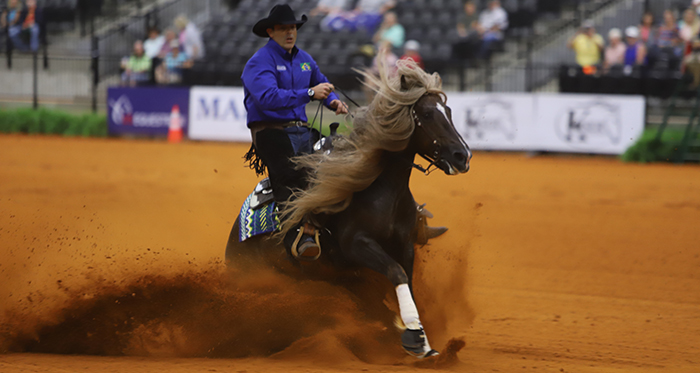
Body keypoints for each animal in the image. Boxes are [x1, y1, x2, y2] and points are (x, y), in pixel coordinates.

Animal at [227, 58, 474, 358]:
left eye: (447, 111)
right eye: (426, 114)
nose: (462, 156)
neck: (381, 190)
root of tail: (234, 237)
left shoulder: (404, 245)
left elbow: (407, 281)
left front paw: (421, 338)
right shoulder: (357, 244)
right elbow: (396, 272)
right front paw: (415, 336)